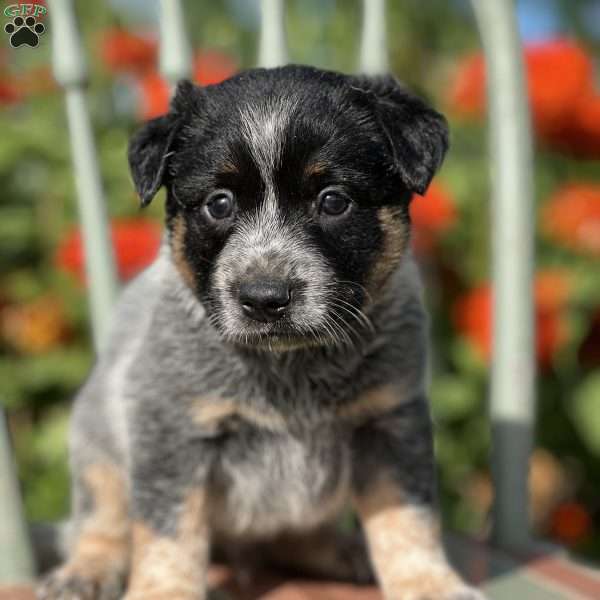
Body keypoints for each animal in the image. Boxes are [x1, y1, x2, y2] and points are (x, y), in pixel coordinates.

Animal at [37, 65, 486, 600]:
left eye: (333, 201)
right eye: (219, 204)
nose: (265, 298)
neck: (291, 366)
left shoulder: (390, 420)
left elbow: (408, 520)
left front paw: (430, 583)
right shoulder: (173, 430)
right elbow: (169, 534)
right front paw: (164, 590)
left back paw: (339, 552)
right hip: (97, 440)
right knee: (100, 519)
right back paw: (86, 570)